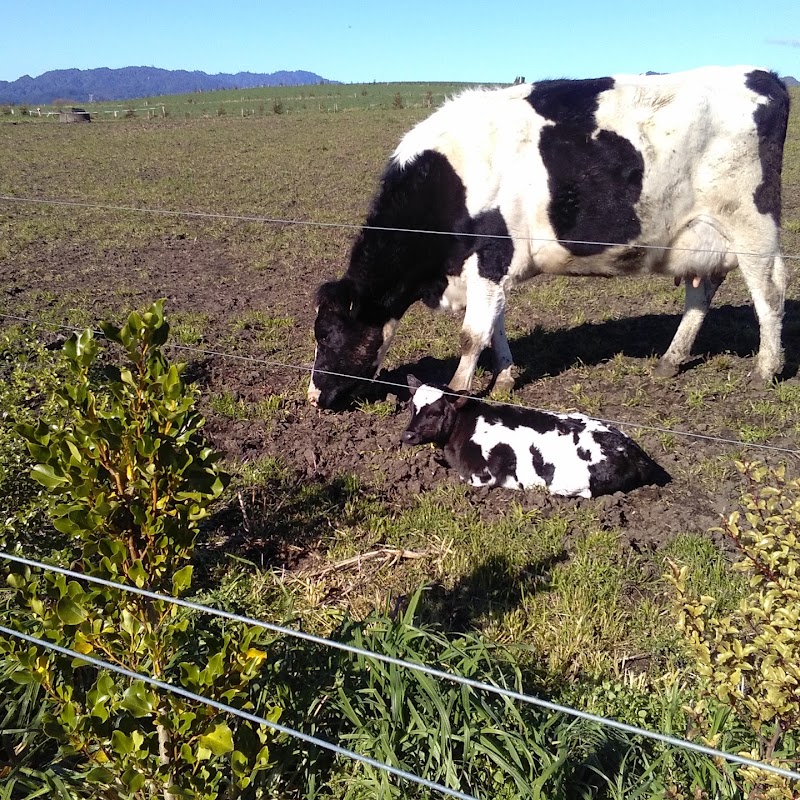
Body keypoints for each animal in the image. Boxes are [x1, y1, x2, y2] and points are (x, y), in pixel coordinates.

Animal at [310, 65, 792, 410]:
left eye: (327, 335)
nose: (313, 398)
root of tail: (763, 75)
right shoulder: (494, 269)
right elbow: (495, 326)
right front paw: (504, 378)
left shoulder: (490, 255)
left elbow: (472, 334)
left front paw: (457, 388)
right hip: (701, 235)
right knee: (702, 292)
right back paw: (670, 361)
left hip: (751, 224)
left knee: (769, 290)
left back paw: (765, 370)